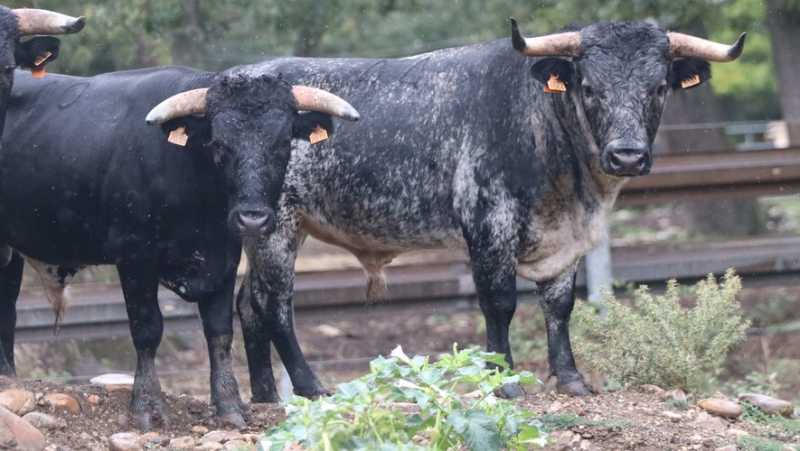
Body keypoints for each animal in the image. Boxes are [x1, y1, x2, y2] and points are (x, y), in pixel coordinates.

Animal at [0, 67, 358, 430]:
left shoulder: (225, 259)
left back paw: (9, 377)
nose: (253, 218)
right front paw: (146, 405)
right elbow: (147, 330)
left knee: (7, 310)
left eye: (283, 143)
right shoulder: (134, 257)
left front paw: (229, 403)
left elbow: (220, 333)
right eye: (218, 144)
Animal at [234, 18, 748, 402]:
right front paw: (502, 380)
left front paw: (572, 380)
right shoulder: (489, 224)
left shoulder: (565, 240)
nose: (626, 156)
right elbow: (500, 303)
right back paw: (310, 387)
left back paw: (265, 396)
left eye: (659, 88)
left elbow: (559, 305)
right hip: (276, 227)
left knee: (247, 304)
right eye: (589, 87)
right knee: (273, 303)